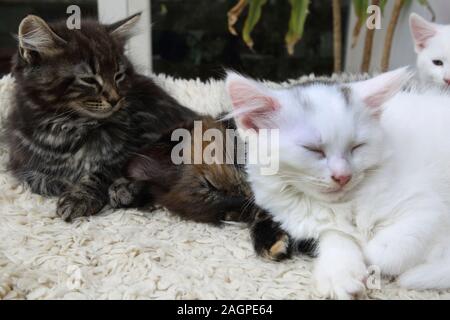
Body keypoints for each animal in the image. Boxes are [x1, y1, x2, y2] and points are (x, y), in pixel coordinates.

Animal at [4, 13, 195, 221]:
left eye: (118, 75)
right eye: (89, 80)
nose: (115, 99)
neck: (71, 125)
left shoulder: (136, 143)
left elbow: (103, 172)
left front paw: (79, 197)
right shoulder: (23, 165)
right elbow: (43, 182)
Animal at [225, 69, 450, 298]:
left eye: (357, 147)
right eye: (313, 149)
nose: (343, 176)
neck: (342, 206)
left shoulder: (425, 207)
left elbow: (389, 247)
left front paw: (370, 256)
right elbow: (336, 235)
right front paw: (341, 273)